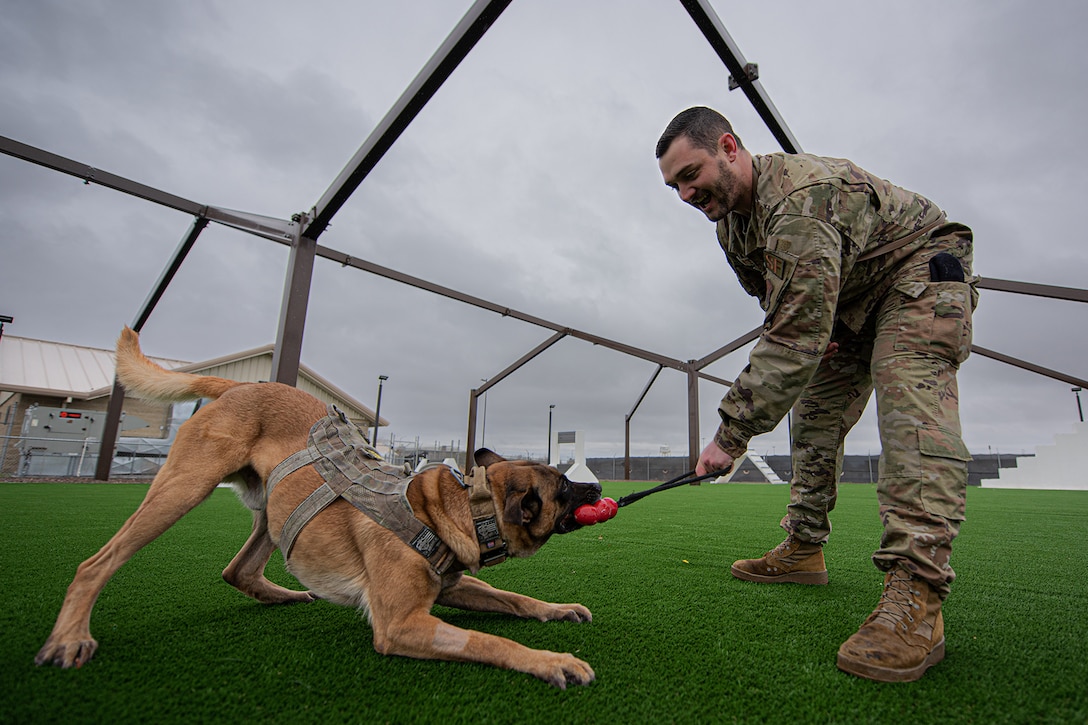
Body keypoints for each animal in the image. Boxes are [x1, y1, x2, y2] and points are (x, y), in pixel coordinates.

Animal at [38, 326, 604, 683]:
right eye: (565, 487)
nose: (599, 492)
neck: (455, 509)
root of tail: (237, 384)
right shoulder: (401, 624)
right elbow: (489, 642)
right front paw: (551, 661)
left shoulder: (453, 588)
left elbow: (514, 599)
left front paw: (555, 609)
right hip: (181, 490)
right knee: (97, 562)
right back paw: (69, 637)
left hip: (277, 513)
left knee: (237, 570)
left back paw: (282, 594)